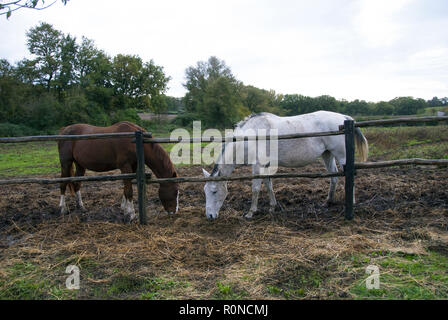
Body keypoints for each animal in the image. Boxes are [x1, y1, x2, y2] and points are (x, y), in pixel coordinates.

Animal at [202, 110, 368, 220]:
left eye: (214, 191)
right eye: (205, 192)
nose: (209, 215)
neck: (250, 136)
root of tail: (345, 118)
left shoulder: (257, 166)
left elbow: (255, 188)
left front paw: (250, 212)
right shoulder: (266, 165)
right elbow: (268, 185)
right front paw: (272, 206)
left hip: (342, 156)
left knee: (349, 176)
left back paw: (351, 202)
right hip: (327, 155)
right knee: (334, 177)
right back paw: (327, 202)